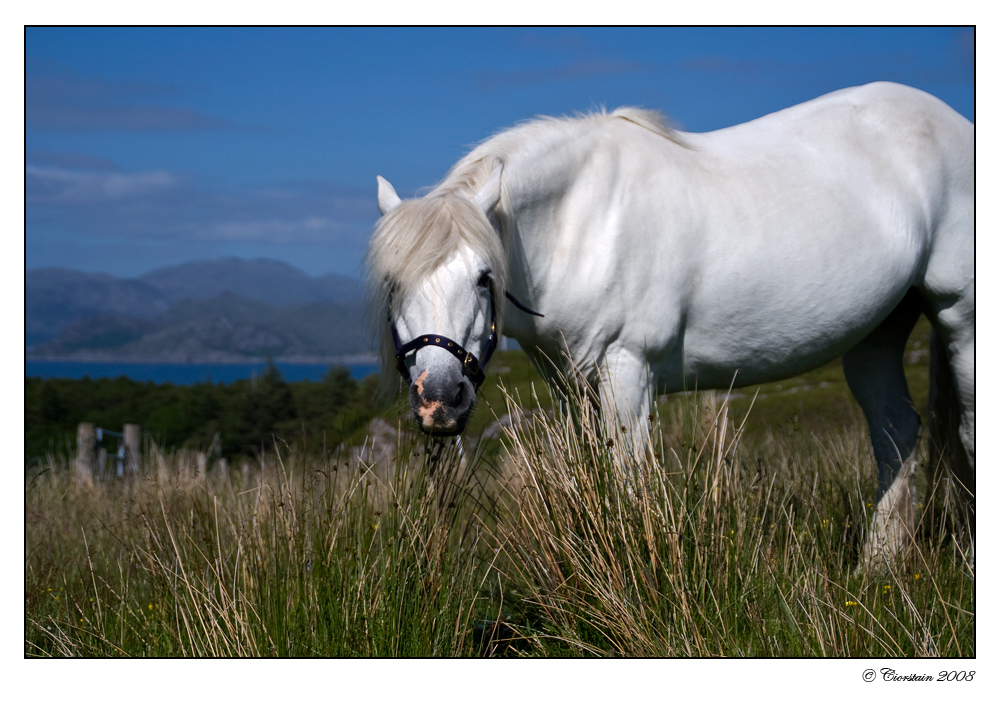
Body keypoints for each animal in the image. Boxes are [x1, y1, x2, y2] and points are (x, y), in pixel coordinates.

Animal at [366, 82, 968, 564]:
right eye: (392, 284)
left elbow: (629, 483)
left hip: (960, 313)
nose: (439, 400)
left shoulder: (627, 370)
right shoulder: (571, 384)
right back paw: (878, 568)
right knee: (895, 433)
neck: (581, 225)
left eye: (483, 276)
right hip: (877, 333)